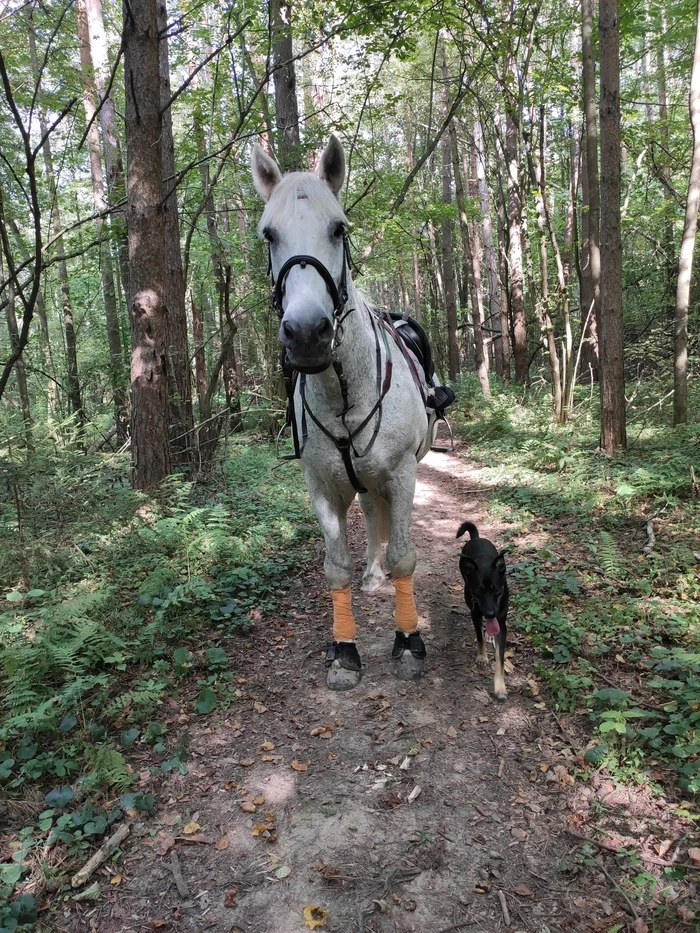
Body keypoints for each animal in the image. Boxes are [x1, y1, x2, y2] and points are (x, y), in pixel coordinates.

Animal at [252, 140, 438, 692]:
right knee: (373, 514)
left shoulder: (402, 472)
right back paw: (372, 575)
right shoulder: (322, 484)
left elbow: (404, 556)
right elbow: (335, 566)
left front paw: (408, 642)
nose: (306, 333)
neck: (342, 389)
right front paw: (344, 651)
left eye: (339, 229)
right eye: (269, 234)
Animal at [456, 520, 506, 696]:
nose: (490, 612)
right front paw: (483, 656)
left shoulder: (501, 621)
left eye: (496, 590)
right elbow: (479, 637)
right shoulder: (475, 614)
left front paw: (500, 687)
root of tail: (476, 538)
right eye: (478, 591)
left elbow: (500, 658)